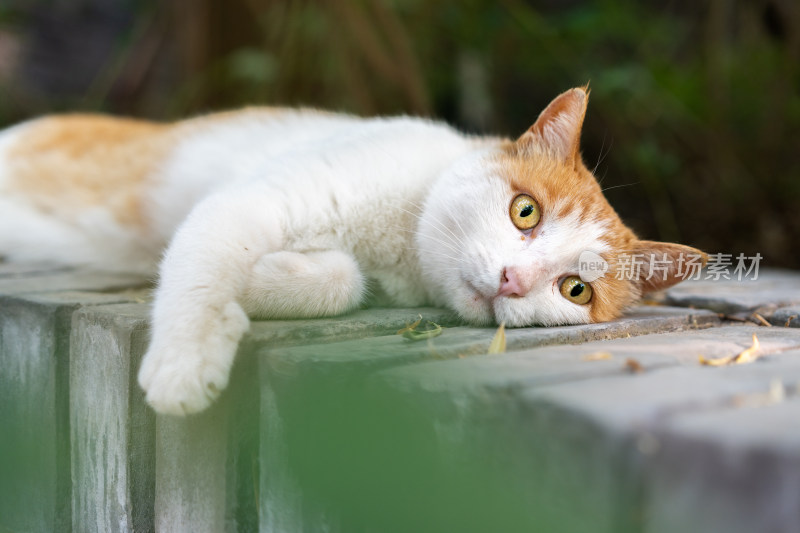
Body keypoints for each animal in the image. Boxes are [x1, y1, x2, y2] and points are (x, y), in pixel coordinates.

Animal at [0, 87, 700, 414]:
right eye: (524, 211)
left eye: (574, 290)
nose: (512, 278)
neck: (399, 248)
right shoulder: (248, 202)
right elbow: (200, 271)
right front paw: (184, 364)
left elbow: (339, 280)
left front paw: (261, 282)